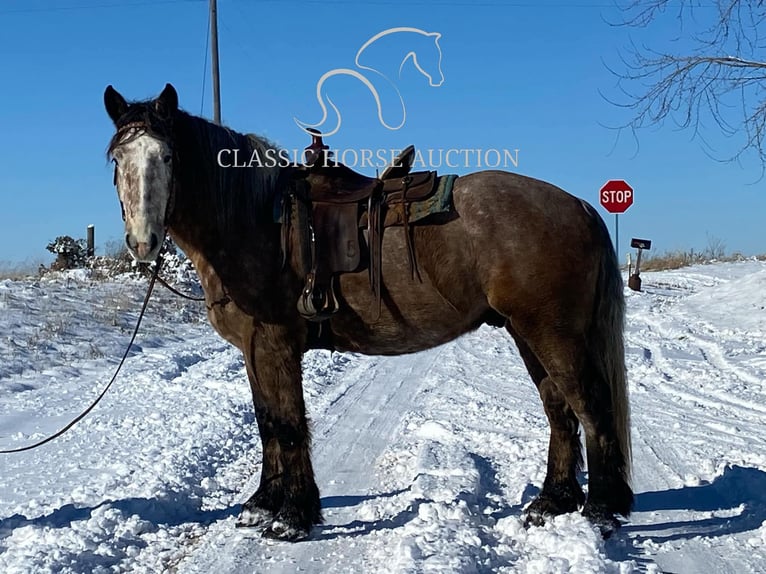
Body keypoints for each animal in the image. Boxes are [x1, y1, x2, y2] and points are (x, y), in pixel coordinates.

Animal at [105, 83, 632, 544]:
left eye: (168, 157)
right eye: (117, 159)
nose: (142, 243)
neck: (255, 222)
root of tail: (580, 207)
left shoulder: (275, 345)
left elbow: (289, 425)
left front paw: (293, 517)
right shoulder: (253, 351)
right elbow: (267, 422)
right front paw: (261, 505)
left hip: (554, 335)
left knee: (592, 410)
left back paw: (600, 512)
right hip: (529, 334)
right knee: (559, 412)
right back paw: (552, 502)